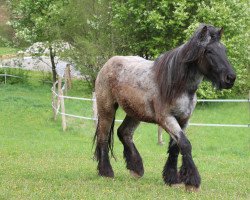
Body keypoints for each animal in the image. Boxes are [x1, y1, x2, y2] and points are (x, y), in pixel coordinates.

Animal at [92, 24, 236, 191]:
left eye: (224, 50)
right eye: (209, 51)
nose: (230, 78)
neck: (177, 85)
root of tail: (108, 63)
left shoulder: (183, 120)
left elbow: (175, 147)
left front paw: (173, 179)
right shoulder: (167, 118)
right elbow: (185, 144)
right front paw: (192, 182)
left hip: (135, 113)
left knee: (124, 132)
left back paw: (136, 169)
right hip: (106, 109)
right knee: (103, 137)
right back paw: (106, 172)